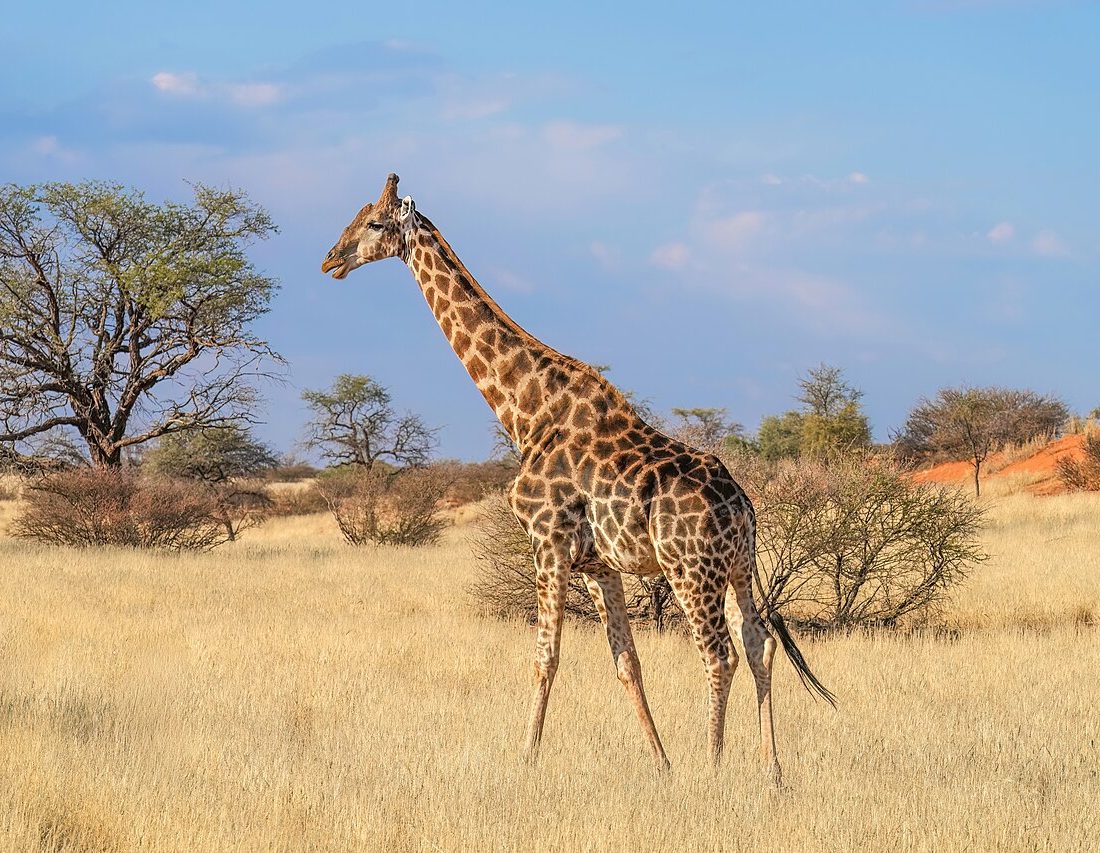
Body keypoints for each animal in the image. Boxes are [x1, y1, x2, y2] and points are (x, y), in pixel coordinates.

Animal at [321, 174, 834, 780]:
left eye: (374, 223)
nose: (331, 260)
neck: (525, 412)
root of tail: (742, 507)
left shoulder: (547, 543)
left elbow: (546, 656)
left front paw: (525, 757)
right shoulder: (598, 564)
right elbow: (626, 661)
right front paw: (661, 762)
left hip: (690, 570)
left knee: (719, 653)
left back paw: (713, 764)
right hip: (736, 568)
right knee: (759, 644)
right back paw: (771, 770)